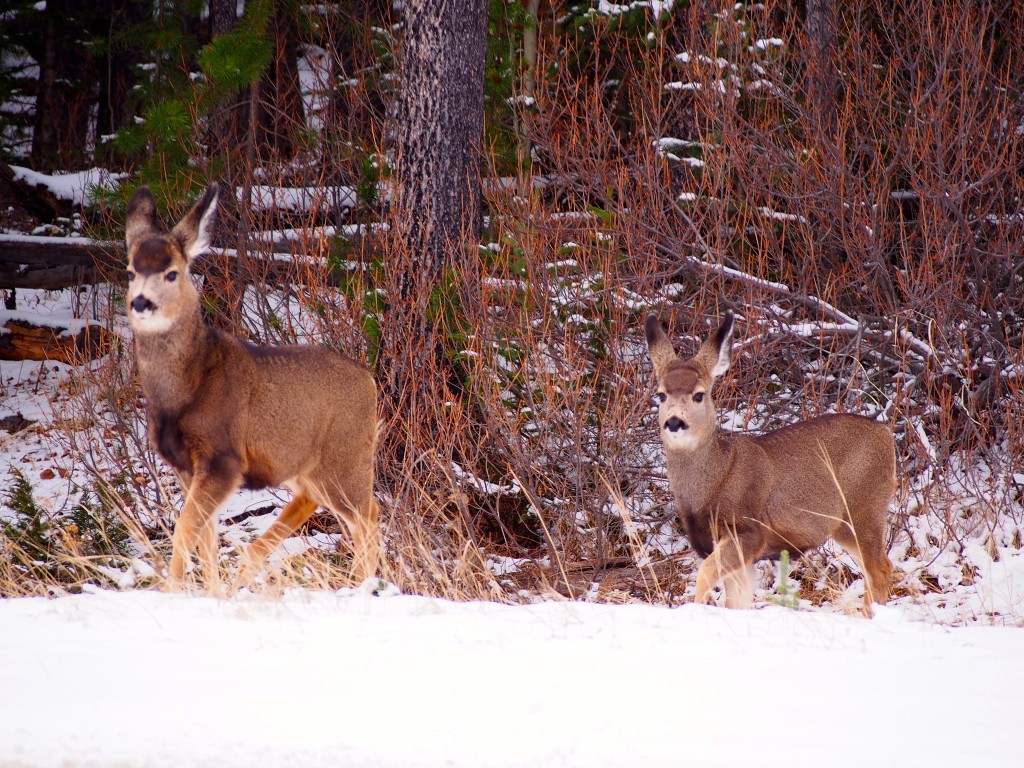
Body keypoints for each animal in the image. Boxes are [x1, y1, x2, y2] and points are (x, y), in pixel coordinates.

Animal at [124, 183, 380, 593]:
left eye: (171, 273)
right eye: (131, 270)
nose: (141, 302)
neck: (186, 389)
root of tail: (370, 381)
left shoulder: (223, 457)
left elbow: (185, 529)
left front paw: (174, 592)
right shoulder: (185, 465)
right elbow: (206, 538)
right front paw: (211, 592)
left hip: (346, 456)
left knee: (368, 514)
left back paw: (362, 587)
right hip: (303, 464)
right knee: (317, 502)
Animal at [647, 309, 897, 618]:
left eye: (699, 394)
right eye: (661, 394)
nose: (674, 421)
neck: (715, 480)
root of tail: (886, 435)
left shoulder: (748, 531)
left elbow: (706, 573)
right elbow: (737, 601)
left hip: (864, 508)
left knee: (881, 568)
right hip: (848, 522)